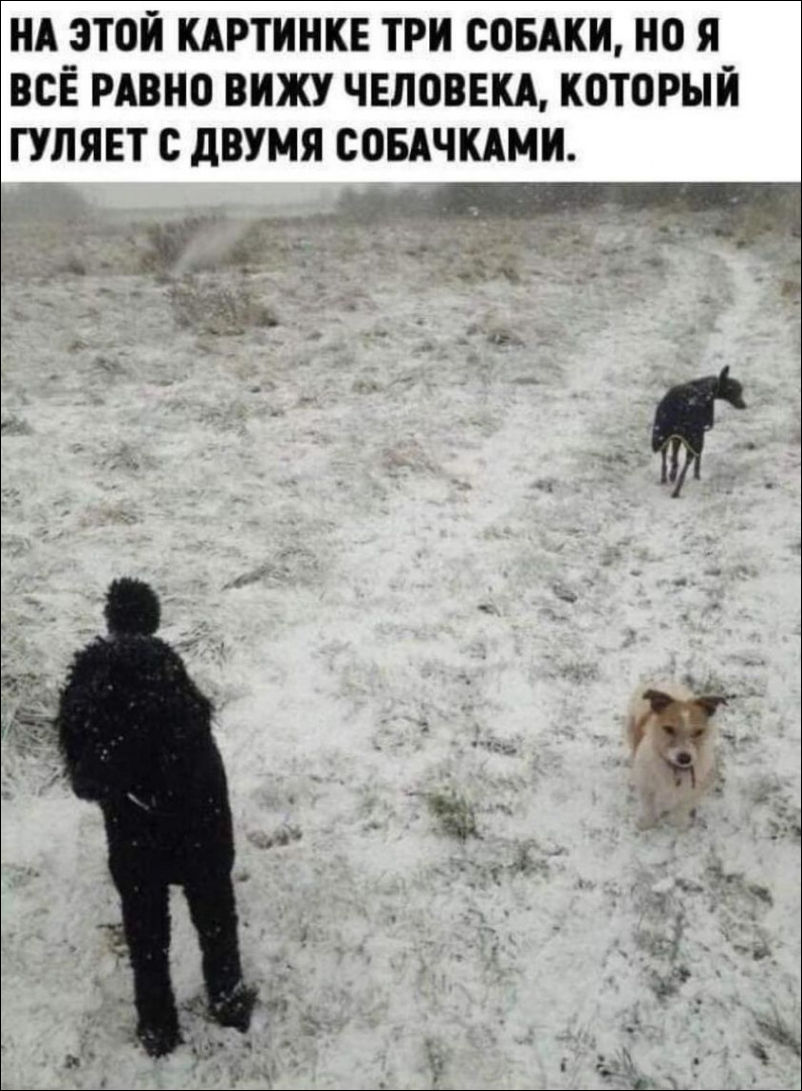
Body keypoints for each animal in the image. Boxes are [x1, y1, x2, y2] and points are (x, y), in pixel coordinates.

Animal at [57, 579, 255, 1056]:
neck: (161, 804)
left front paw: (231, 1009)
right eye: (78, 722)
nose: (81, 782)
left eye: (127, 725)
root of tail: (130, 634)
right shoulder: (140, 886)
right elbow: (148, 959)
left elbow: (219, 943)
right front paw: (158, 1029)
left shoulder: (208, 876)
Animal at [626, 683, 727, 829]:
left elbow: (682, 808)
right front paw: (647, 823)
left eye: (698, 732)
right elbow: (648, 807)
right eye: (668, 729)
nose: (684, 758)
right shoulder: (646, 787)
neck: (676, 770)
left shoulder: (695, 790)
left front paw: (679, 824)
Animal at [652, 365, 746, 497]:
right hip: (693, 437)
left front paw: (672, 473)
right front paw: (696, 475)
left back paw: (665, 478)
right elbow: (698, 456)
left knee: (664, 455)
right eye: (732, 389)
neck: (705, 387)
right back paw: (677, 490)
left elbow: (674, 454)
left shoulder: (677, 435)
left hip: (662, 434)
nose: (744, 405)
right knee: (687, 463)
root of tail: (679, 410)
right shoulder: (701, 431)